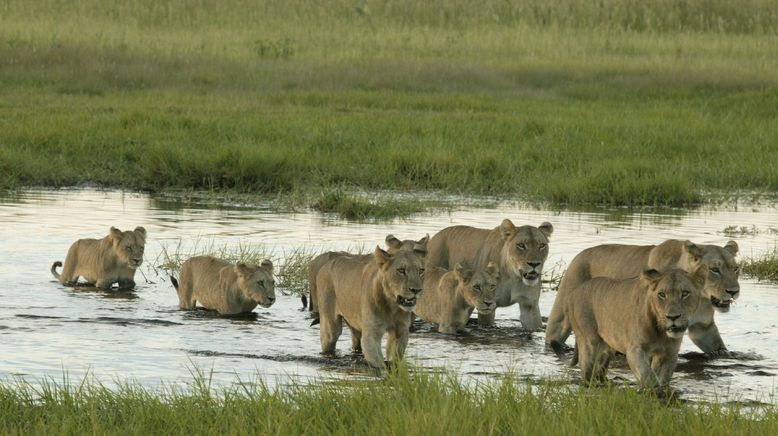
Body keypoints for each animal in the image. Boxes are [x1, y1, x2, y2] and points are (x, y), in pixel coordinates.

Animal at [312, 237, 428, 370]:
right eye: (401, 270)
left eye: (421, 271)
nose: (416, 290)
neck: (392, 306)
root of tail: (326, 264)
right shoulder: (371, 335)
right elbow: (378, 364)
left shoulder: (401, 331)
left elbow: (394, 357)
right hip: (330, 327)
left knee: (356, 342)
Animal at [424, 220, 552, 328]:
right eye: (521, 245)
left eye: (542, 245)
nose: (534, 264)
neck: (513, 276)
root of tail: (434, 237)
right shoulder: (487, 306)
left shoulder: (529, 306)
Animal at [544, 238, 740, 354]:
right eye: (714, 270)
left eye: (736, 269)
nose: (734, 291)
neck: (700, 296)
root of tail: (580, 254)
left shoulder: (703, 328)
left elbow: (720, 349)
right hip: (562, 313)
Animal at [552, 270, 704, 388]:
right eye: (662, 294)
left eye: (685, 293)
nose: (673, 317)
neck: (661, 332)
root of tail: (572, 294)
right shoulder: (635, 349)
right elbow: (647, 374)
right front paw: (650, 390)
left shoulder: (669, 353)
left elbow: (663, 377)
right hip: (590, 342)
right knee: (587, 370)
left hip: (607, 348)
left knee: (600, 369)